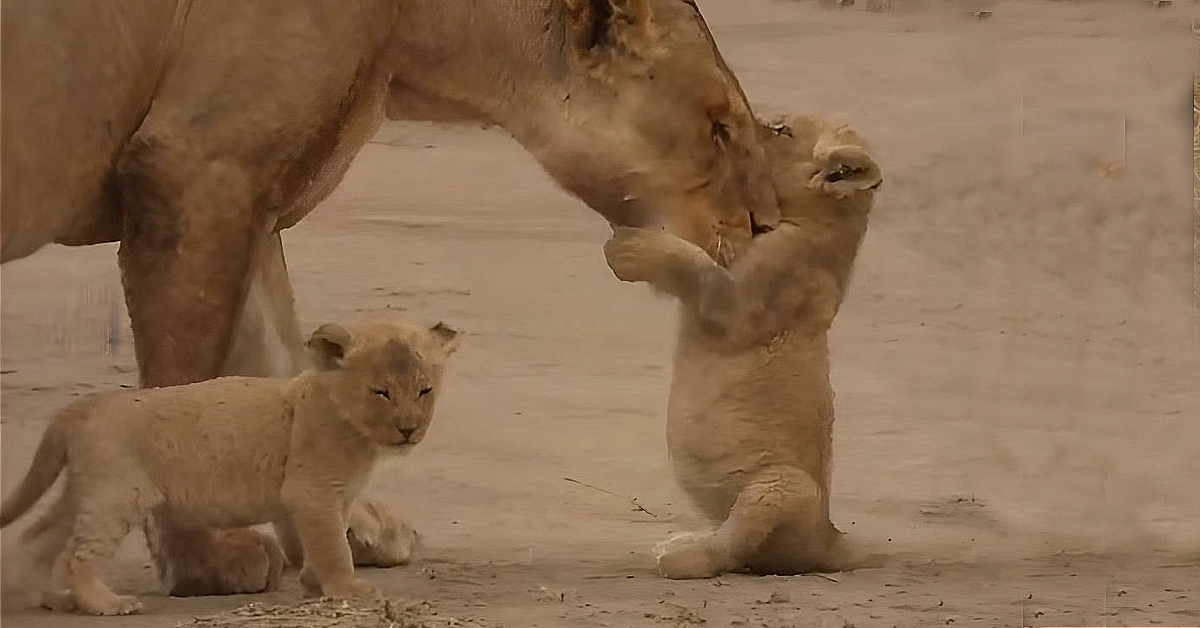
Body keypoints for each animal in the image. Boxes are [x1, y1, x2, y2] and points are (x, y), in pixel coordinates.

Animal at [0, 317, 460, 615]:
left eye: (425, 390)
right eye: (382, 392)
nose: (408, 430)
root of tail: (79, 409)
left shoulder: (337, 497)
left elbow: (327, 542)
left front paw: (315, 584)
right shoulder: (313, 493)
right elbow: (333, 547)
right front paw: (349, 589)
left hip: (85, 491)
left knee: (37, 539)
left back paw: (56, 599)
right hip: (115, 496)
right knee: (74, 556)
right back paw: (106, 604)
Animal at [602, 113, 884, 579]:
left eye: (781, 131)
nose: (744, 127)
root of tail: (830, 538)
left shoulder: (742, 303)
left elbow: (696, 267)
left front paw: (632, 247)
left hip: (779, 486)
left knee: (733, 548)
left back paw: (681, 556)